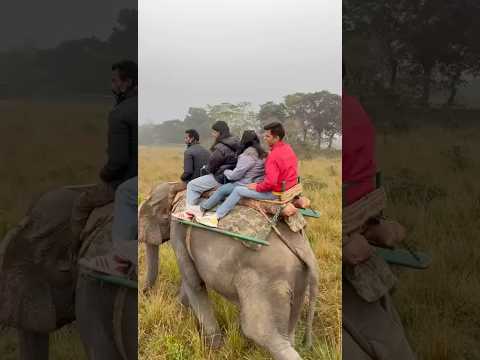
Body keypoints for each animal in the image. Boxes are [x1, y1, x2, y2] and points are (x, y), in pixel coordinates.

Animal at [141, 183, 320, 360]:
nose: (145, 294)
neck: (177, 188)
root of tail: (302, 248)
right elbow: (191, 281)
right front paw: (182, 310)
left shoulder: (177, 228)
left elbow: (194, 282)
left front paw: (214, 349)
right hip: (298, 278)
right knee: (288, 333)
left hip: (268, 282)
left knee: (261, 333)